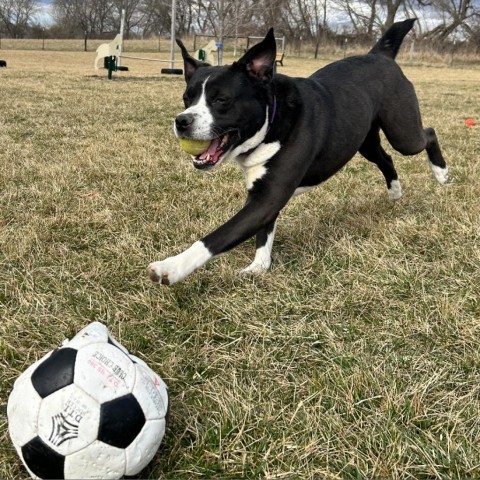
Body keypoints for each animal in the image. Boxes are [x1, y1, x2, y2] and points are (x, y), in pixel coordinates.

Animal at [148, 20, 448, 284]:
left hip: (403, 132)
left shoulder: (269, 196)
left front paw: (171, 267)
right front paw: (259, 266)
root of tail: (380, 55)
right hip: (364, 140)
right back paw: (395, 191)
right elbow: (264, 234)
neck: (272, 119)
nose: (182, 121)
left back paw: (441, 173)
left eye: (221, 99)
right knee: (385, 157)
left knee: (428, 133)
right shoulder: (263, 194)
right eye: (187, 98)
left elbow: (217, 237)